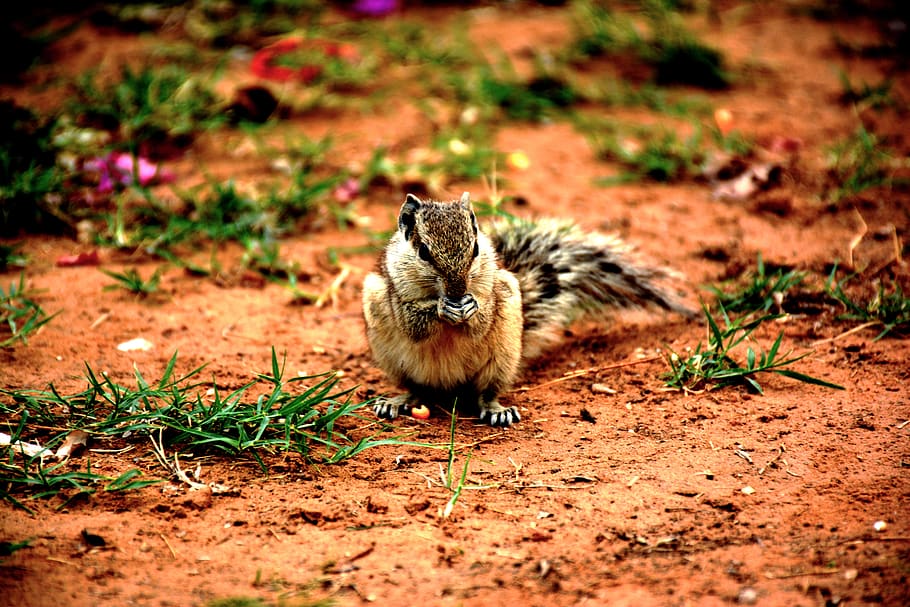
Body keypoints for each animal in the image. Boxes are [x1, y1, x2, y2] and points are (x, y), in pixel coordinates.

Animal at [362, 192, 692, 427]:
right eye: (423, 252)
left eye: (476, 248)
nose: (457, 291)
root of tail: (449, 387)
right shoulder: (393, 293)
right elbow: (413, 323)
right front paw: (442, 308)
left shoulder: (496, 291)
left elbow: (482, 321)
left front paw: (472, 308)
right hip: (390, 348)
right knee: (417, 389)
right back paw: (396, 401)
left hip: (503, 355)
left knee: (485, 394)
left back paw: (497, 410)